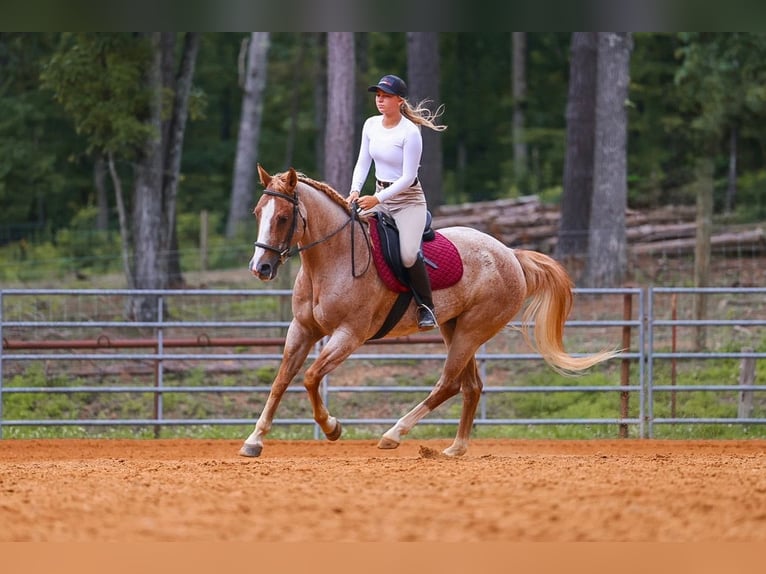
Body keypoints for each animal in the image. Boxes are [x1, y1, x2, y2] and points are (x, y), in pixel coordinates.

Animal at [239, 165, 620, 458]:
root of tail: (511, 255)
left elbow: (310, 377)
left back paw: (393, 434)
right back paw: (455, 448)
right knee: (472, 387)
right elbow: (282, 380)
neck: (332, 260)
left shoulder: (349, 335)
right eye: (258, 214)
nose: (260, 267)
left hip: (471, 331)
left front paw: (332, 427)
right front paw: (254, 440)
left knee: (449, 384)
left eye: (283, 217)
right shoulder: (302, 329)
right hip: (454, 328)